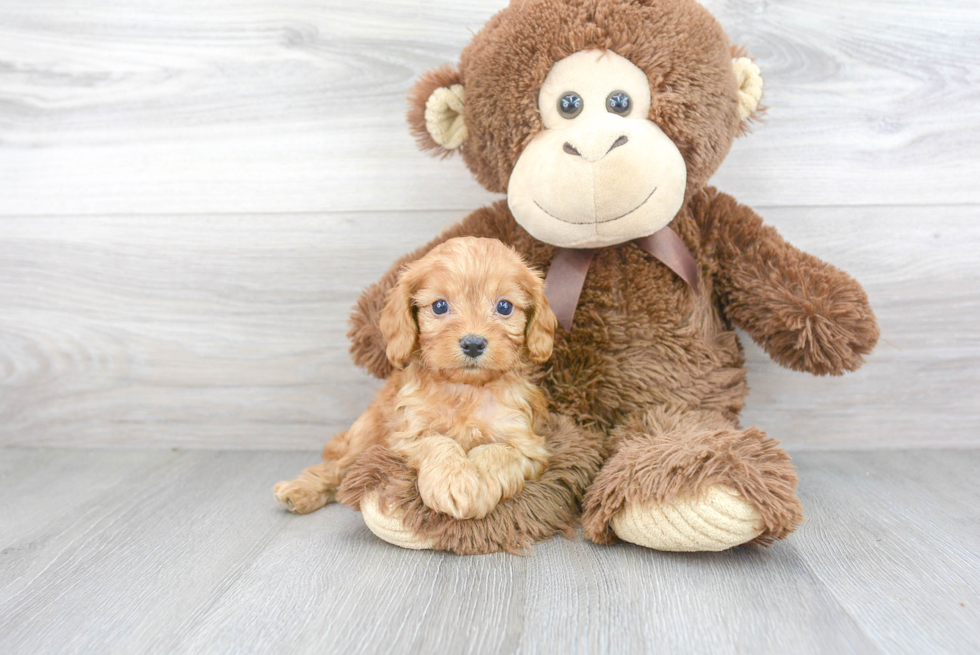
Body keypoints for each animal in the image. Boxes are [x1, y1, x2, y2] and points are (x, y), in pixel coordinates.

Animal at [274, 238, 560, 520]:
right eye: (440, 306)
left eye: (504, 306)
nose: (473, 344)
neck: (465, 389)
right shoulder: (405, 435)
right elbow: (436, 441)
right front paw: (454, 482)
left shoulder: (529, 445)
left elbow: (498, 453)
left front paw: (479, 488)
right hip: (365, 434)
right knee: (337, 468)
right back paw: (301, 490)